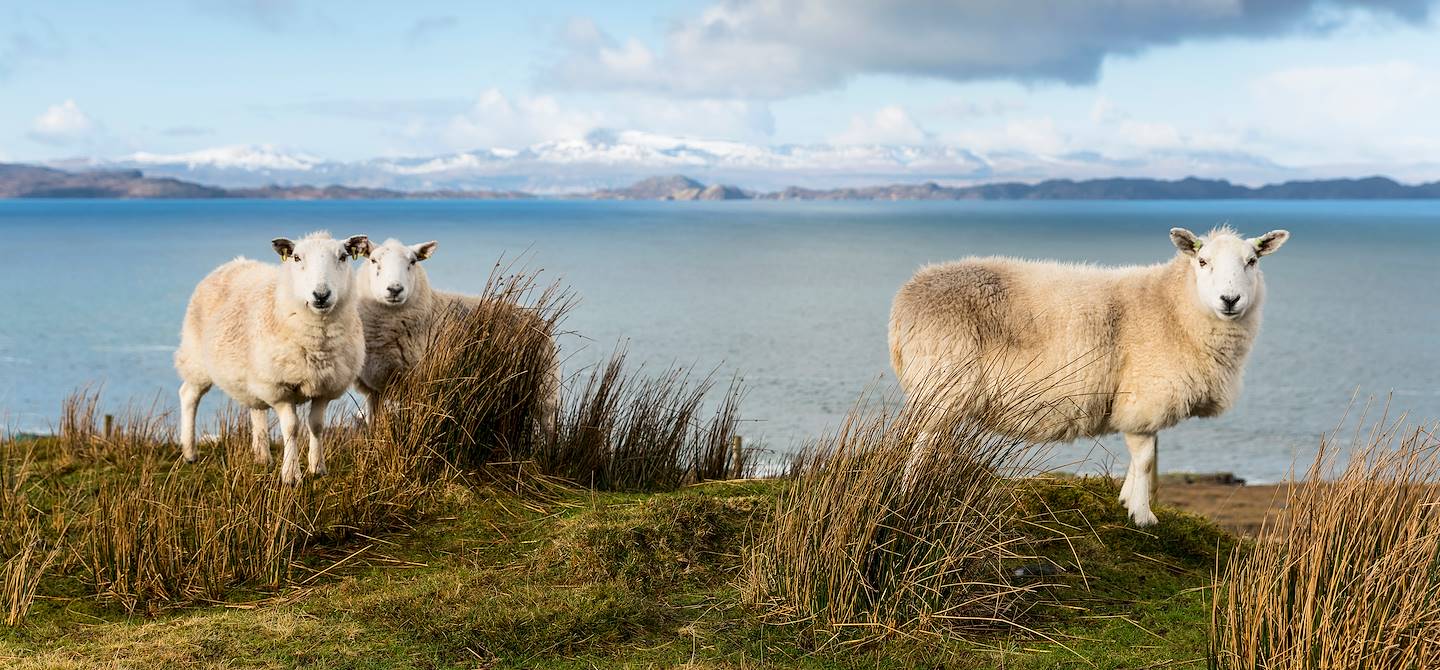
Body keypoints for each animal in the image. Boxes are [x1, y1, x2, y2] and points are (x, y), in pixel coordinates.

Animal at [174, 231, 370, 485]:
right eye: (296, 258)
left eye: (343, 256)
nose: (321, 295)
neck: (317, 346)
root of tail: (233, 263)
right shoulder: (280, 386)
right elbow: (292, 428)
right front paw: (291, 475)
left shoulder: (325, 386)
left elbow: (316, 426)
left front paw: (317, 468)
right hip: (197, 357)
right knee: (189, 395)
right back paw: (190, 452)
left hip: (255, 373)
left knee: (256, 408)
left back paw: (262, 457)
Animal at [352, 238, 561, 431]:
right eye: (373, 260)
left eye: (412, 262)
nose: (395, 289)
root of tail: (536, 318)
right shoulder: (374, 391)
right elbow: (373, 428)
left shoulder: (418, 384)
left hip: (544, 389)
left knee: (549, 430)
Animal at [888, 226, 1289, 526]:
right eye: (1203, 261)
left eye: (1252, 261)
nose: (1230, 300)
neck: (1174, 307)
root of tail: (907, 295)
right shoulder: (1144, 394)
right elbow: (1145, 457)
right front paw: (1143, 516)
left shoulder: (1143, 399)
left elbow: (1142, 459)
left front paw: (1128, 501)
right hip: (942, 380)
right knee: (922, 445)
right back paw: (910, 495)